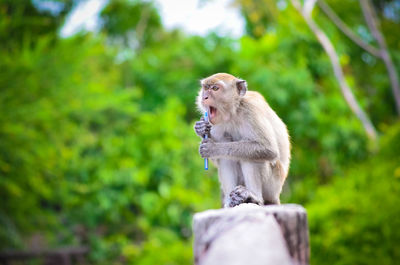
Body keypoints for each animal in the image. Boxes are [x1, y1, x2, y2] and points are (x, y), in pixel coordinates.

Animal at [195, 73, 290, 207]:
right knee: (226, 156)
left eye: (215, 88)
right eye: (205, 88)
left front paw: (212, 148)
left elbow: (268, 148)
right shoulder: (214, 124)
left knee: (251, 157)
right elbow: (218, 159)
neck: (234, 112)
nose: (204, 97)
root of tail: (276, 196)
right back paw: (230, 202)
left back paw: (254, 197)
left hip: (273, 184)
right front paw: (201, 128)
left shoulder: (251, 111)